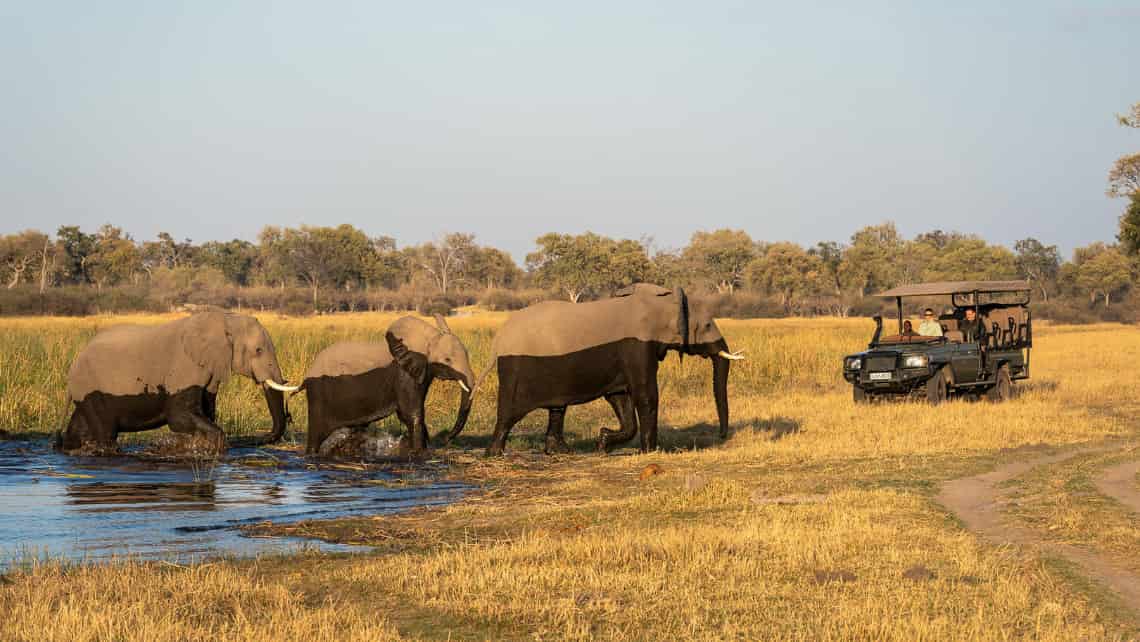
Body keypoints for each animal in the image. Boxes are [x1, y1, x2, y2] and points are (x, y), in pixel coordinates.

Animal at [58, 312, 294, 453]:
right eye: (258, 350)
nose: (256, 439)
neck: (224, 318)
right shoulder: (185, 365)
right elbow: (179, 416)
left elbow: (206, 411)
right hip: (89, 385)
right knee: (106, 434)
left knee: (80, 427)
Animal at [298, 314, 476, 453]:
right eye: (447, 360)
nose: (446, 437)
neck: (426, 338)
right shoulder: (403, 374)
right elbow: (411, 414)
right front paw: (419, 453)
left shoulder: (421, 371)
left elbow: (411, 413)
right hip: (318, 393)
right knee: (316, 434)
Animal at [465, 282, 743, 456]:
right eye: (708, 326)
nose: (721, 436)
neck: (663, 301)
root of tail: (498, 342)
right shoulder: (637, 347)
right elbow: (645, 394)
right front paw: (651, 451)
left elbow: (620, 398)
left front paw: (603, 442)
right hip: (516, 368)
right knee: (510, 411)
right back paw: (494, 454)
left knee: (557, 408)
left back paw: (560, 452)